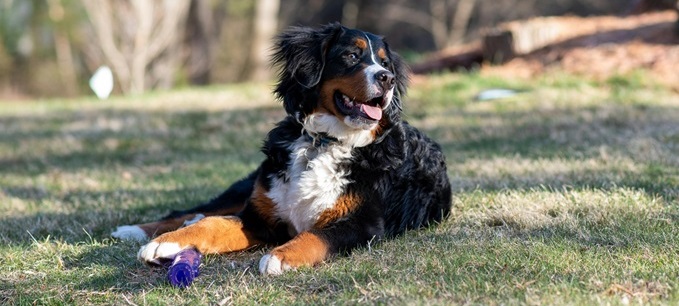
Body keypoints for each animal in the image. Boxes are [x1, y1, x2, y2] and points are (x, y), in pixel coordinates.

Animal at [113, 22, 452, 274]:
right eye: (352, 56)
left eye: (384, 62)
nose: (387, 78)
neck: (323, 141)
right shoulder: (260, 217)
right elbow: (213, 224)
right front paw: (167, 242)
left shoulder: (364, 223)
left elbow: (317, 235)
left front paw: (281, 256)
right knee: (195, 211)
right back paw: (136, 230)